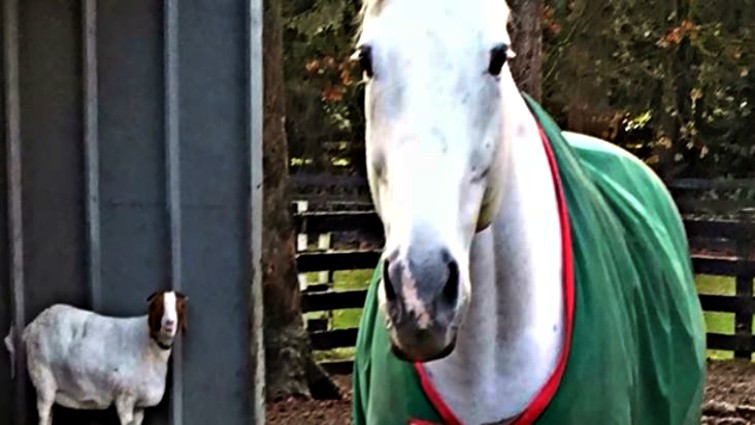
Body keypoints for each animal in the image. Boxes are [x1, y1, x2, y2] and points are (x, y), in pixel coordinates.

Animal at [4, 288, 188, 424]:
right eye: (158, 305)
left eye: (179, 306)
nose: (169, 324)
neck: (148, 343)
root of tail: (32, 326)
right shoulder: (124, 397)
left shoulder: (139, 405)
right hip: (43, 379)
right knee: (43, 413)